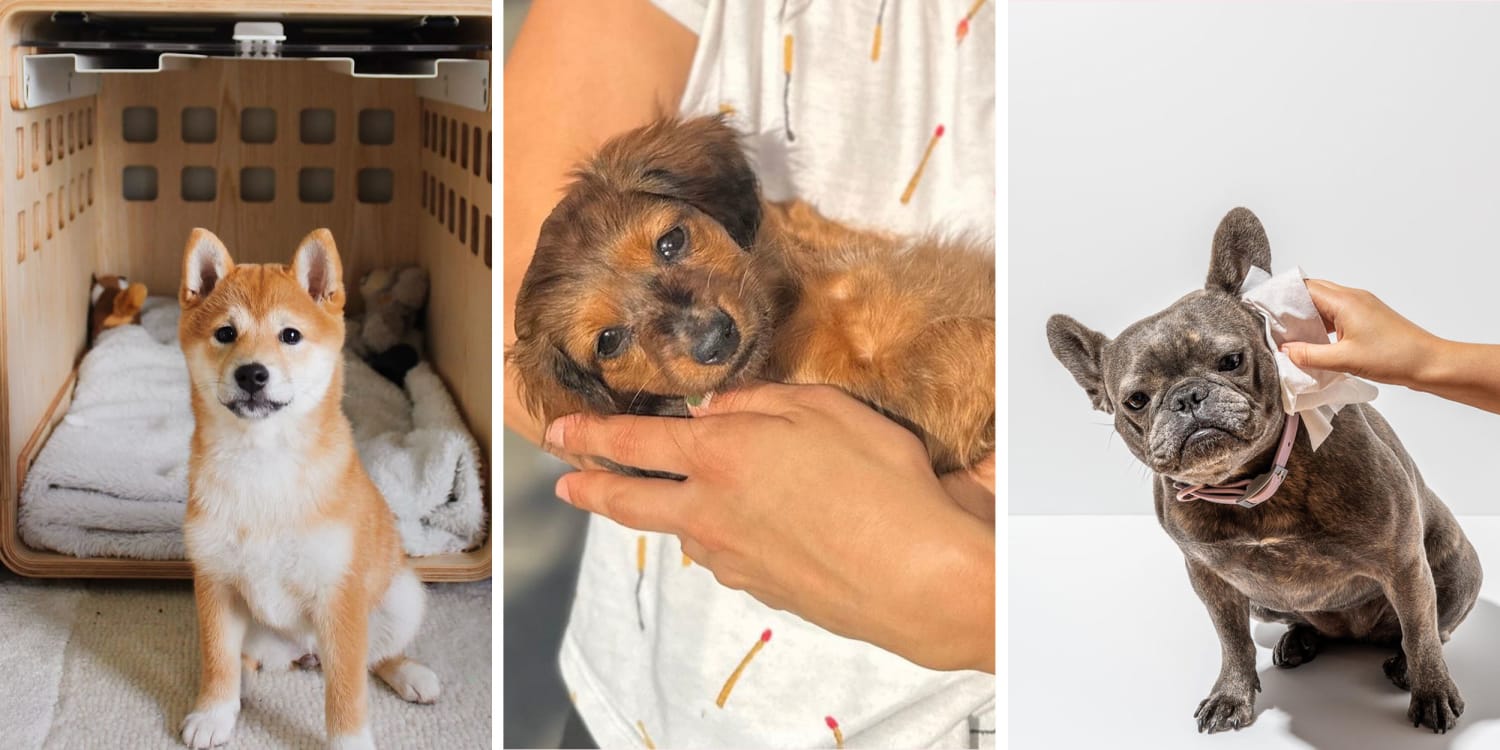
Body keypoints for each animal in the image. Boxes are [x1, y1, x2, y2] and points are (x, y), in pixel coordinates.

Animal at [174, 228, 438, 750]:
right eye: (225, 333)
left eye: (290, 335)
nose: (252, 373)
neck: (262, 464)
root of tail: (305, 652)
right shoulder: (215, 581)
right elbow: (216, 659)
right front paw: (215, 712)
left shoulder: (338, 595)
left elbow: (347, 689)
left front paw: (350, 742)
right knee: (247, 658)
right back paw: (245, 682)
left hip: (402, 596)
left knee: (376, 657)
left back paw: (410, 673)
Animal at [516, 114, 996, 471]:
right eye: (609, 341)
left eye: (671, 241)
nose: (714, 340)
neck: (789, 298)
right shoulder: (912, 405)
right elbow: (964, 340)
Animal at [1050, 208, 1482, 735]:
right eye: (1136, 400)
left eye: (1231, 361)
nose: (1187, 396)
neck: (1248, 483)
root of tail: (1355, 634)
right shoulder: (1212, 580)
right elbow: (1232, 641)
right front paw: (1231, 695)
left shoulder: (1402, 564)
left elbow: (1420, 632)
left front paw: (1432, 692)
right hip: (1263, 601)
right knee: (1306, 622)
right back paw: (1299, 640)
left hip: (1457, 569)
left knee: (1429, 627)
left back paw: (1402, 664)